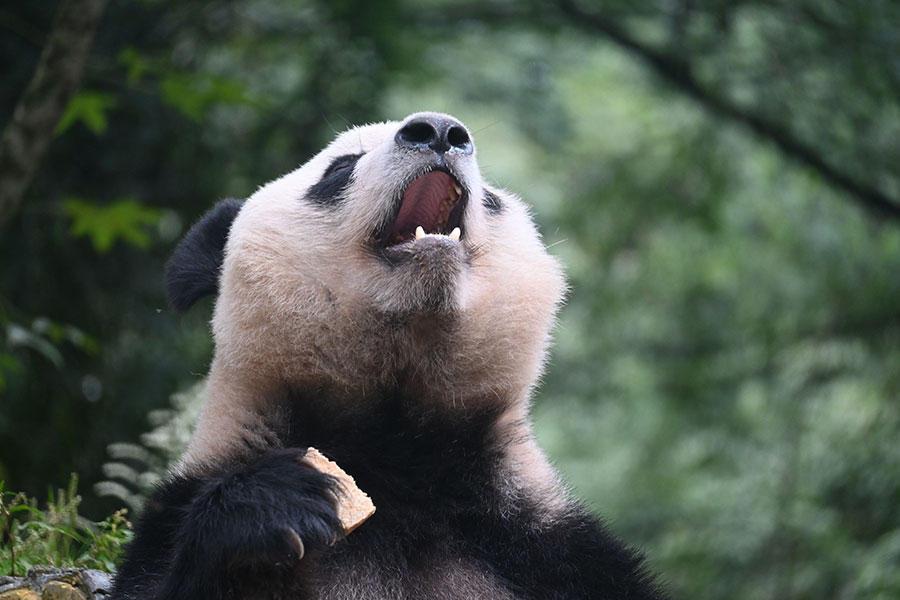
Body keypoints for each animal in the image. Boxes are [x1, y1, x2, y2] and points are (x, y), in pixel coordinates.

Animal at [109, 112, 664, 600]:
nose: (439, 130)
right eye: (339, 168)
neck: (395, 443)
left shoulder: (542, 544)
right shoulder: (173, 513)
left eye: (491, 196)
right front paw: (270, 508)